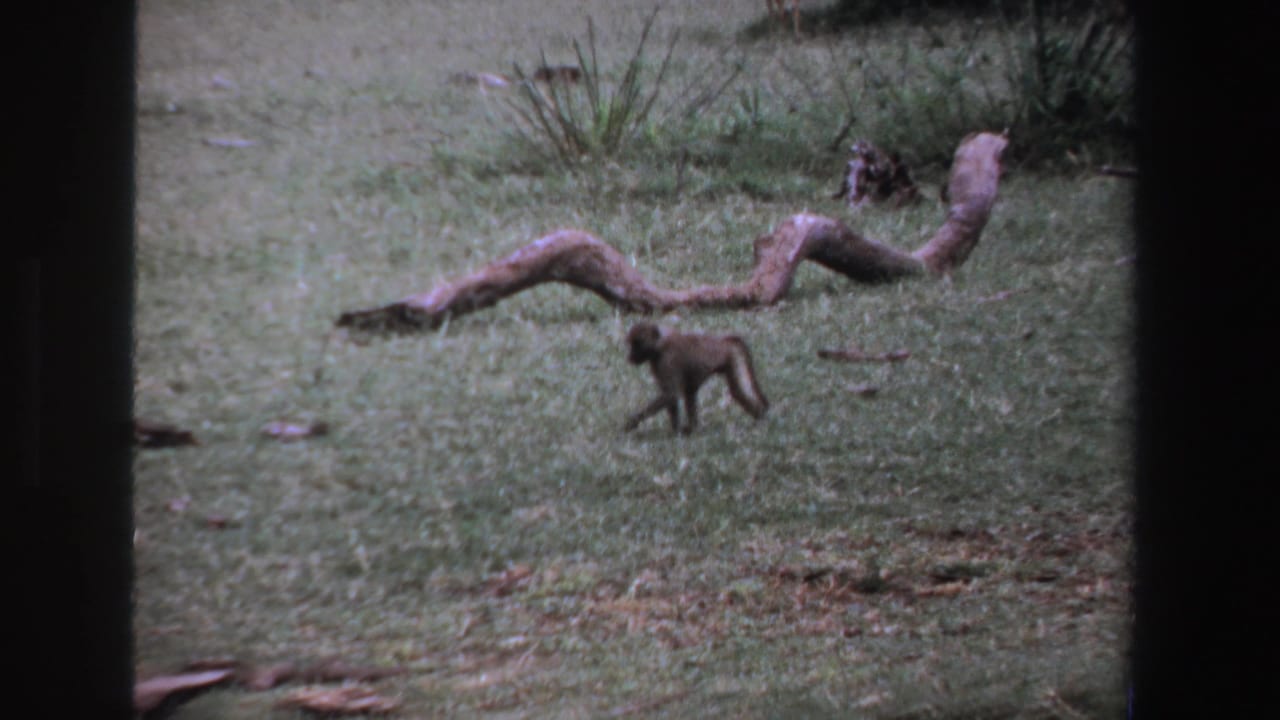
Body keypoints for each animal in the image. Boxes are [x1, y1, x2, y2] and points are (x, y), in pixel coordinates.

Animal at [623, 322, 769, 435]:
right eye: (632, 344)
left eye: (637, 344)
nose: (630, 357)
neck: (660, 344)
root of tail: (722, 341)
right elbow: (672, 397)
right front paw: (675, 431)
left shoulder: (666, 361)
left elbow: (670, 394)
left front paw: (631, 423)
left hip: (730, 355)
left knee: (737, 391)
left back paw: (761, 419)